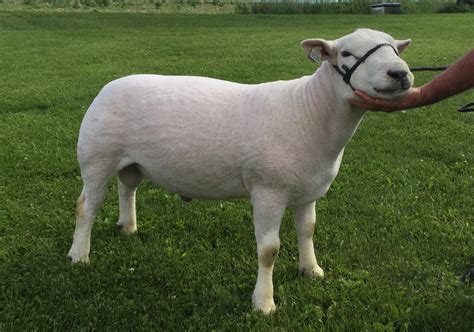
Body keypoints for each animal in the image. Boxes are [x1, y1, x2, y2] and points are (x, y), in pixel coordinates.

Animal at [68, 28, 412, 314]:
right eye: (347, 54)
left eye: (396, 49)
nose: (400, 73)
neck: (311, 110)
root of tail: (108, 87)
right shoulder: (268, 191)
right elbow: (269, 251)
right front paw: (264, 303)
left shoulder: (306, 191)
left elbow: (308, 231)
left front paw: (311, 270)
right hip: (97, 156)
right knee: (86, 206)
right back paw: (79, 255)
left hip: (132, 161)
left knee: (127, 187)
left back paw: (128, 227)